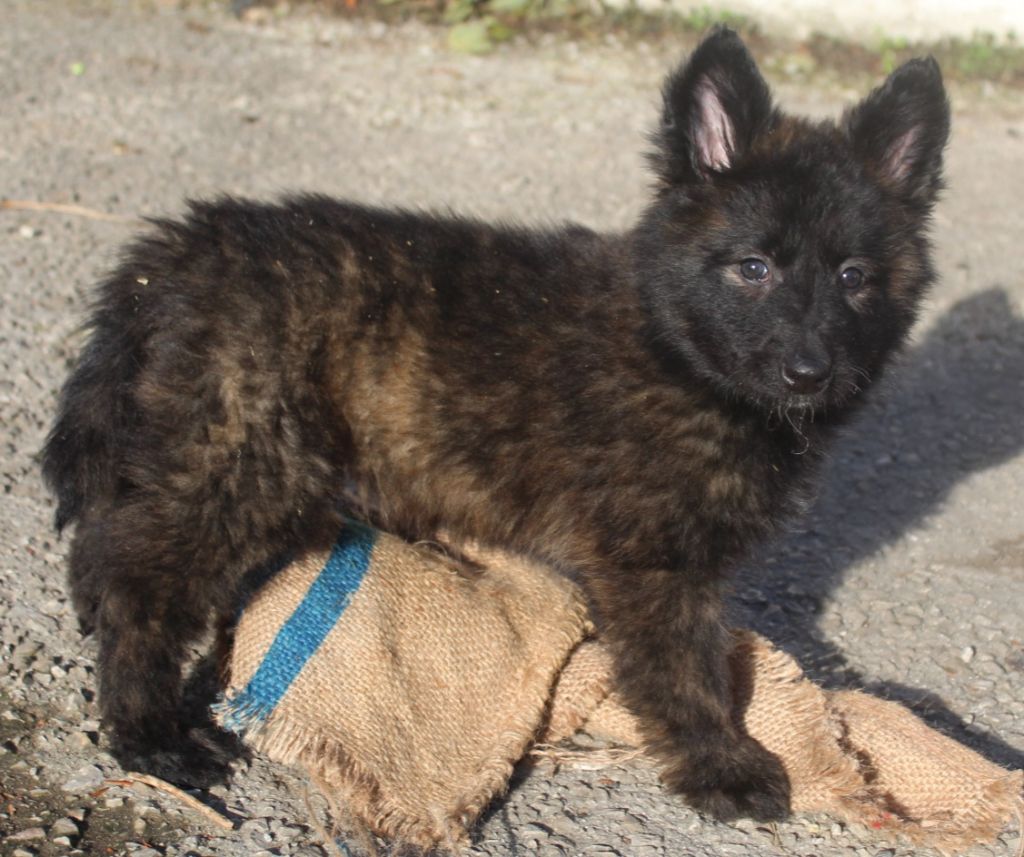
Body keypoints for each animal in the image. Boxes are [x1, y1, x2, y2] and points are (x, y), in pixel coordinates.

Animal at [42, 27, 949, 821]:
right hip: (247, 460)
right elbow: (686, 671)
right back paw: (147, 730)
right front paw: (721, 764)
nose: (810, 372)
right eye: (753, 268)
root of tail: (179, 252)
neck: (676, 349)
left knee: (113, 532)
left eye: (855, 277)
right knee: (142, 582)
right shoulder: (654, 564)